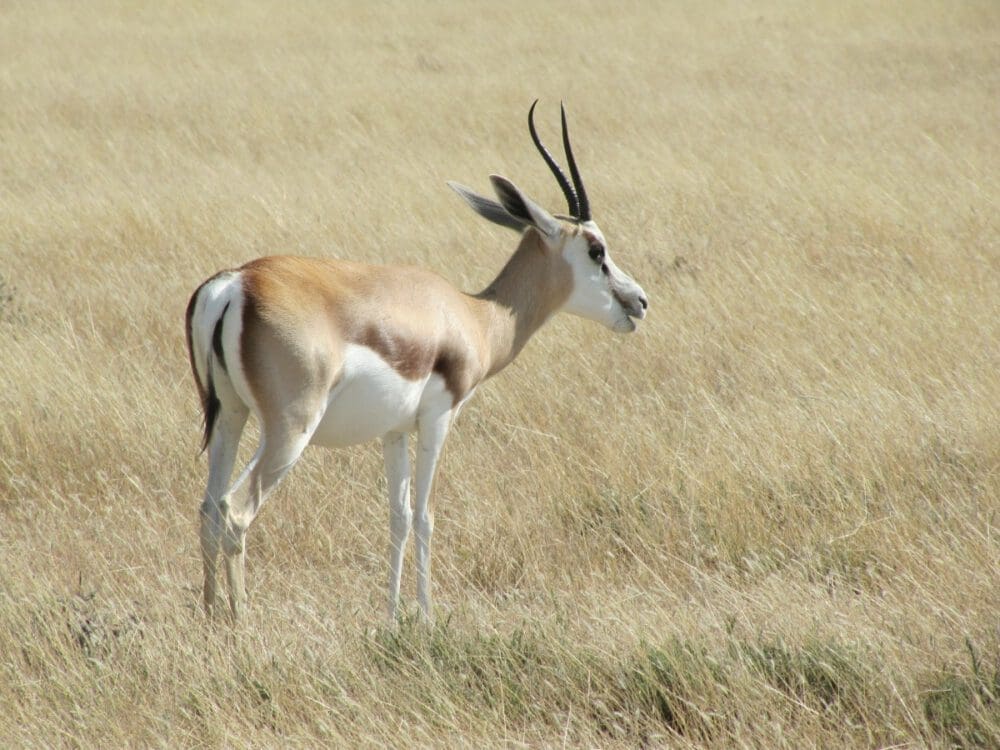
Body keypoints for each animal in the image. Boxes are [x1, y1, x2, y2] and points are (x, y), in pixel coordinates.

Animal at [186, 103, 648, 624]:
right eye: (596, 250)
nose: (639, 301)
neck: (474, 316)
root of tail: (236, 283)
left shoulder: (394, 432)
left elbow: (399, 517)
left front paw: (391, 615)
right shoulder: (438, 419)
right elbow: (426, 516)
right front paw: (426, 616)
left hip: (231, 417)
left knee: (208, 508)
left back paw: (209, 619)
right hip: (290, 430)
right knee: (235, 511)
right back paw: (241, 623)